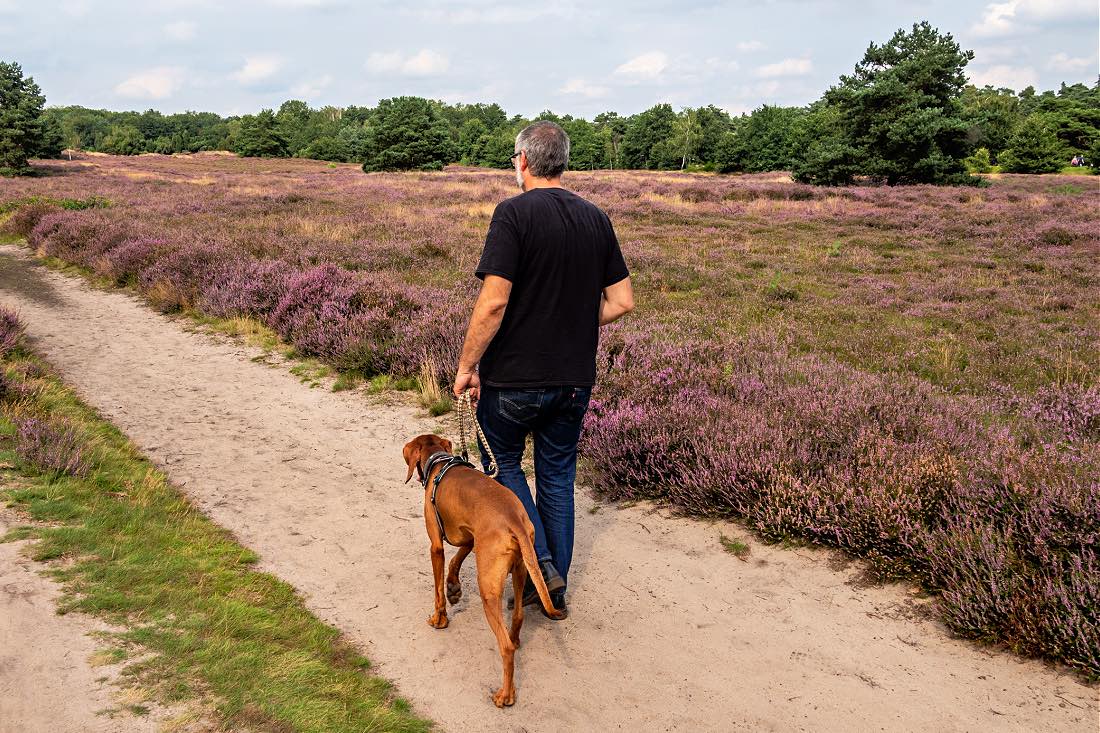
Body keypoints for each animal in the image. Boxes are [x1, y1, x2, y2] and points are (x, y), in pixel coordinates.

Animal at [400, 431, 563, 704]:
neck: (439, 461)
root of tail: (514, 520)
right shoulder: (470, 538)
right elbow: (456, 559)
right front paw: (454, 588)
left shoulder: (436, 546)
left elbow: (437, 591)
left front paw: (439, 619)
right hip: (520, 569)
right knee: (517, 617)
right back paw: (516, 640)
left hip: (488, 589)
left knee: (505, 647)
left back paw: (505, 696)